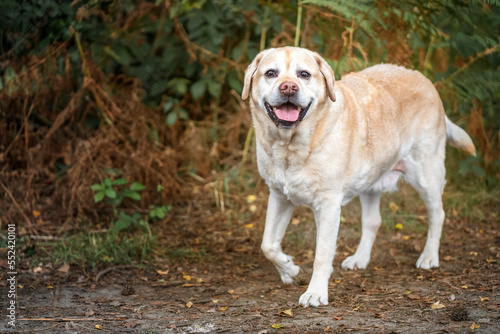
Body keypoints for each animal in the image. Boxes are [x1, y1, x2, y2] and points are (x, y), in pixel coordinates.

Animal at [242, 47, 476, 308]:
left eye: (304, 74)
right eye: (271, 73)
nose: (288, 87)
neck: (291, 147)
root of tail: (423, 78)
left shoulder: (328, 206)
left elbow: (322, 254)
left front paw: (315, 293)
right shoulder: (279, 196)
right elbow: (267, 244)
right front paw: (289, 269)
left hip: (427, 174)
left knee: (438, 214)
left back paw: (429, 257)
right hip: (370, 183)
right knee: (373, 221)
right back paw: (360, 258)